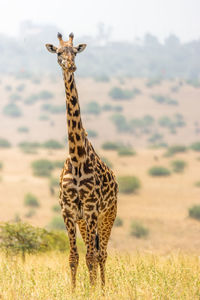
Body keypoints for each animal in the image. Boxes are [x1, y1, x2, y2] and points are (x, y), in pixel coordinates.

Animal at [45, 32, 117, 288]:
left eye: (75, 51)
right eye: (59, 52)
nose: (71, 66)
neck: (76, 158)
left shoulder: (91, 209)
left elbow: (92, 256)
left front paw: (93, 290)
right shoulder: (68, 211)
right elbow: (74, 257)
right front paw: (75, 290)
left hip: (108, 214)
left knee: (102, 253)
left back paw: (103, 288)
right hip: (85, 221)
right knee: (93, 252)